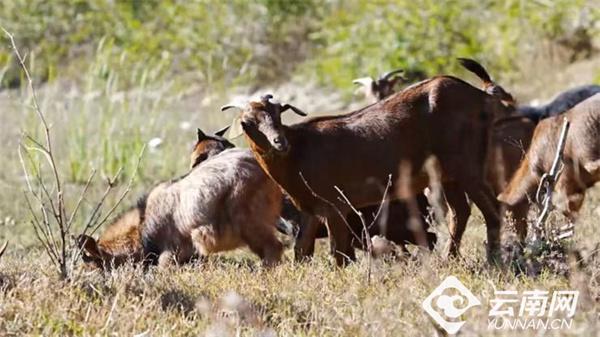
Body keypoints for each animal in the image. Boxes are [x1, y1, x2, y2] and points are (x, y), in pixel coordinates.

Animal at [225, 74, 510, 266]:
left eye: (278, 113)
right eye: (247, 123)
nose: (279, 142)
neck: (299, 151)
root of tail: (484, 97)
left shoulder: (335, 204)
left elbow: (339, 252)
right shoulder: (311, 209)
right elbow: (302, 249)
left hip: (467, 165)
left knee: (492, 208)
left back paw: (493, 260)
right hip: (449, 174)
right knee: (460, 212)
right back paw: (450, 259)